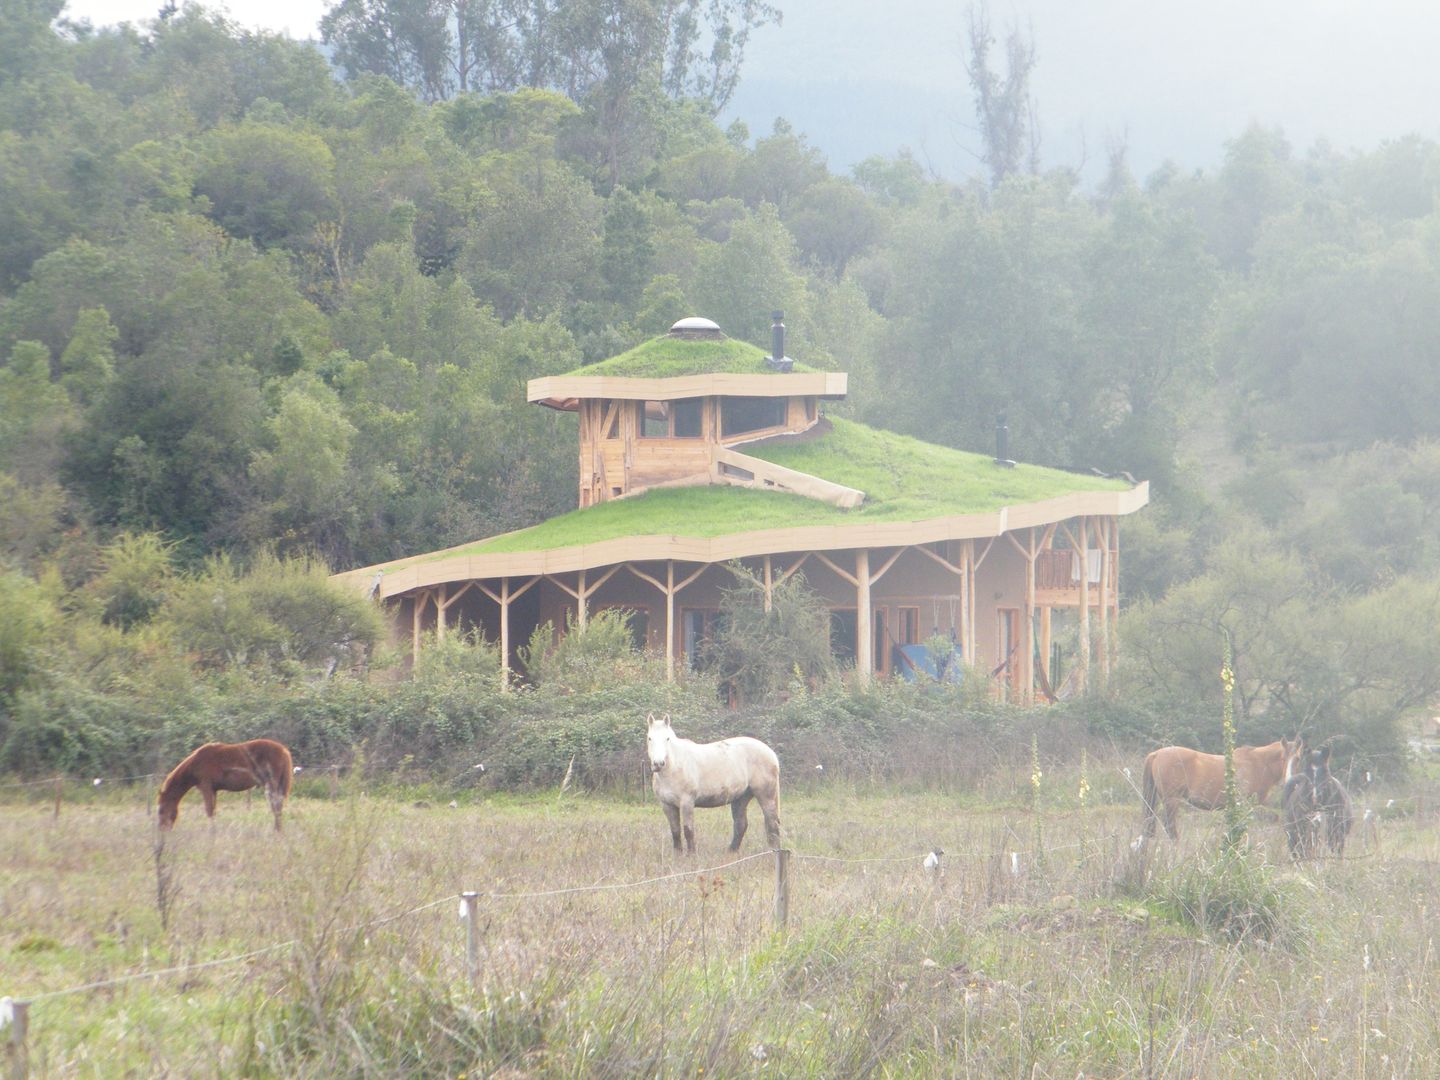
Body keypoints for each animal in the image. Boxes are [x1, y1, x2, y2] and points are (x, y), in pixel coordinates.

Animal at [157, 743, 292, 835]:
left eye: (161, 810)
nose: (162, 830)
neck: (195, 764)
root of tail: (283, 750)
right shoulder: (213, 790)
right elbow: (213, 810)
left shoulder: (206, 787)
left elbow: (209, 810)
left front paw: (212, 833)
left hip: (272, 784)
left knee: (276, 806)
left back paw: (277, 830)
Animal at [648, 714, 783, 858]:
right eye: (650, 738)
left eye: (667, 738)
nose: (658, 763)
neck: (674, 767)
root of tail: (771, 753)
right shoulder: (667, 805)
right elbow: (675, 831)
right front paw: (677, 856)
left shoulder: (687, 802)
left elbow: (688, 830)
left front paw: (691, 856)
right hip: (740, 798)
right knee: (741, 825)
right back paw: (731, 852)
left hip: (766, 796)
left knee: (772, 824)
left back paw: (773, 852)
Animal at [1140, 743, 1313, 852]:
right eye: (1283, 758)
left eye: (1297, 759)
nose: (1289, 780)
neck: (1257, 763)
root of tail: (1157, 754)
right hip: (1171, 800)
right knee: (1170, 828)